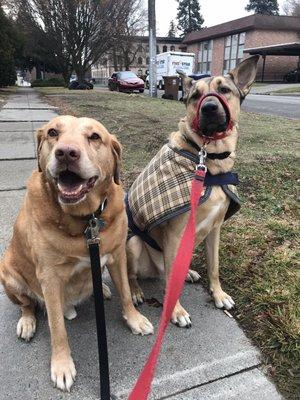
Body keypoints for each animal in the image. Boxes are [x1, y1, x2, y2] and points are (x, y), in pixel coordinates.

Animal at [0, 115, 154, 390]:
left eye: (94, 137)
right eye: (53, 132)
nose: (66, 153)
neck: (85, 219)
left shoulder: (117, 256)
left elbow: (126, 292)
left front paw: (134, 319)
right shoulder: (49, 278)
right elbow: (57, 328)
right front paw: (62, 365)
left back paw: (101, 288)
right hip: (8, 274)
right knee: (27, 304)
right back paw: (27, 322)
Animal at [125, 55, 258, 328]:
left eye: (224, 90)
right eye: (195, 95)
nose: (209, 108)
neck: (206, 159)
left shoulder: (215, 229)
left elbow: (214, 267)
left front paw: (219, 295)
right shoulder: (175, 234)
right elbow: (170, 283)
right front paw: (175, 311)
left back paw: (188, 272)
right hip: (133, 243)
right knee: (132, 274)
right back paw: (135, 291)